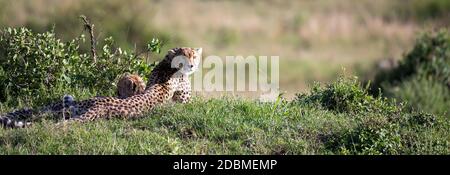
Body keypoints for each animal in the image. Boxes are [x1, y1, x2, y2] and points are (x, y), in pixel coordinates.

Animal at [1, 47, 202, 128]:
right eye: (186, 57)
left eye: (194, 56)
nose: (192, 66)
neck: (167, 66)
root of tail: (100, 106)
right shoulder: (185, 101)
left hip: (70, 109)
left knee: (45, 112)